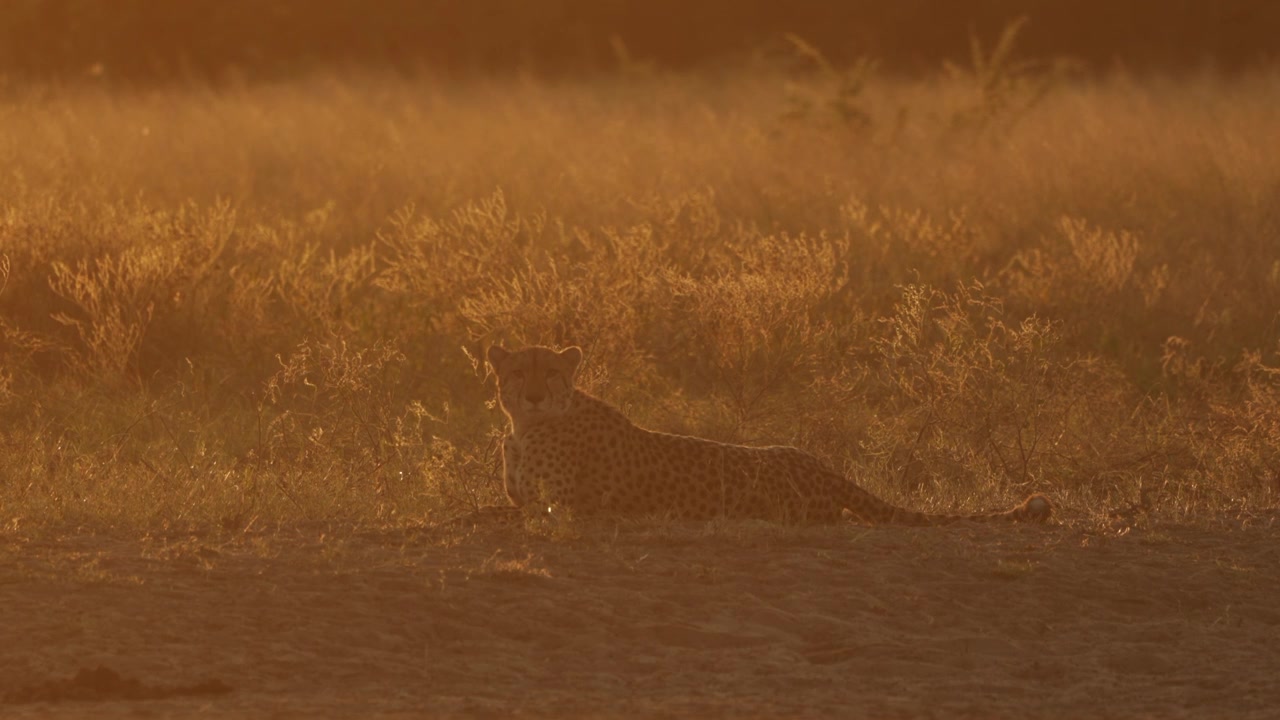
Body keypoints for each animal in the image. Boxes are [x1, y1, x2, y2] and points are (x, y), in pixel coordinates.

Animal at [487, 344, 1051, 525]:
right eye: (518, 373)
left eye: (550, 374)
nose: (534, 396)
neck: (526, 427)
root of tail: (822, 465)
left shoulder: (563, 506)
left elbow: (493, 513)